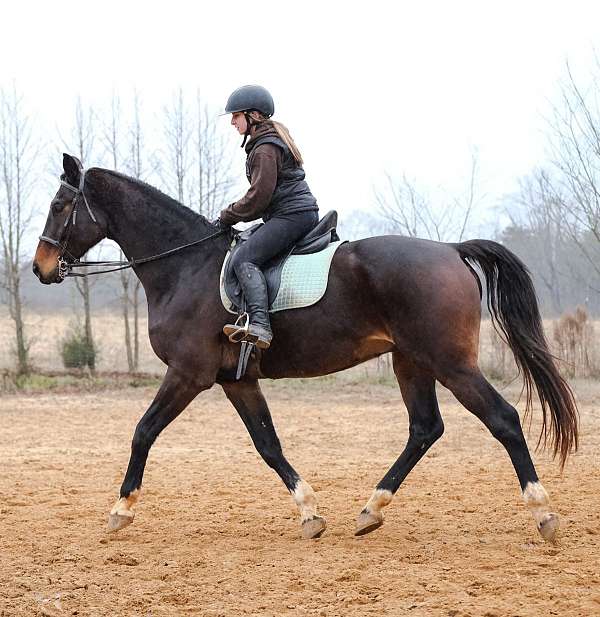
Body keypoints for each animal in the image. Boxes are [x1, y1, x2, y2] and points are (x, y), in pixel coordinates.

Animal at [31, 153, 576, 540]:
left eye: (59, 206)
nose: (39, 267)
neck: (185, 266)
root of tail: (450, 250)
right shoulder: (237, 381)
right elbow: (269, 445)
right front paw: (310, 513)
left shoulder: (188, 374)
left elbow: (143, 432)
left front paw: (121, 509)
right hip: (411, 361)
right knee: (425, 428)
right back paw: (371, 510)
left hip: (450, 362)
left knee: (502, 419)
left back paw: (543, 513)